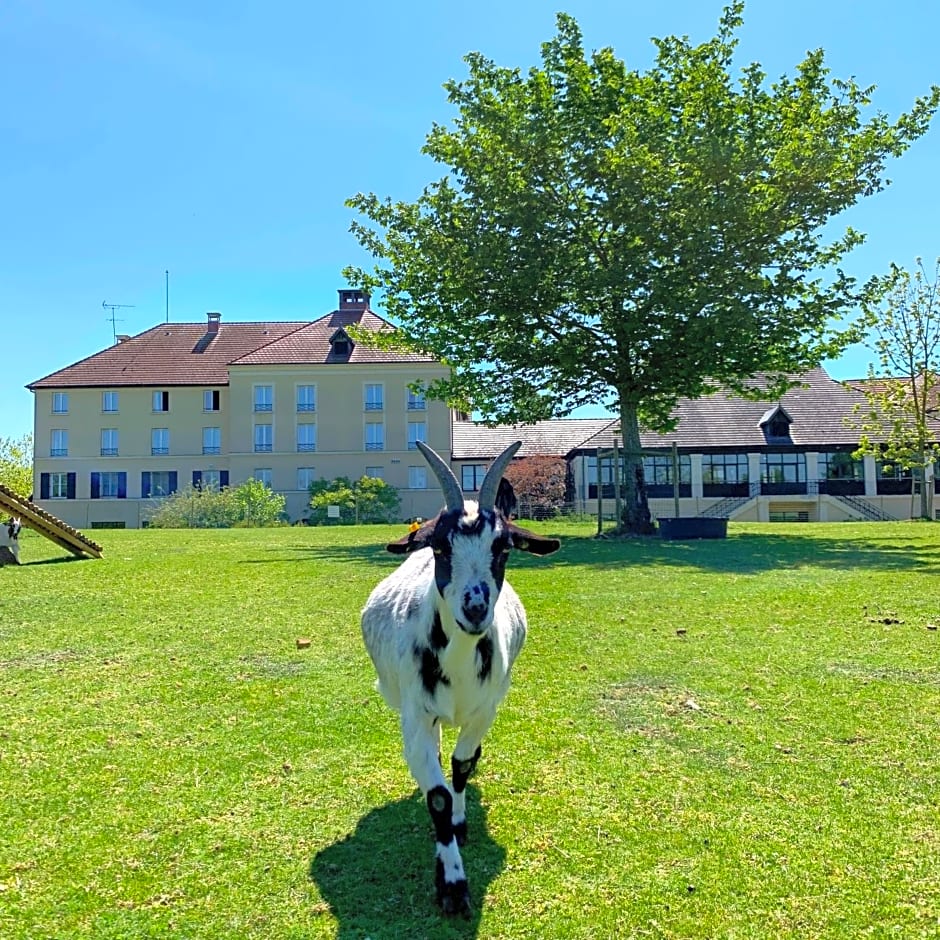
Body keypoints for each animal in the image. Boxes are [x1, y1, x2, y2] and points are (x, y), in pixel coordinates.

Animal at [360, 442, 560, 916]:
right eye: (439, 547)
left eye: (503, 548)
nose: (475, 608)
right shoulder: (415, 716)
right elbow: (436, 793)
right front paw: (452, 883)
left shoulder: (486, 710)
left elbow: (463, 764)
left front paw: (459, 824)